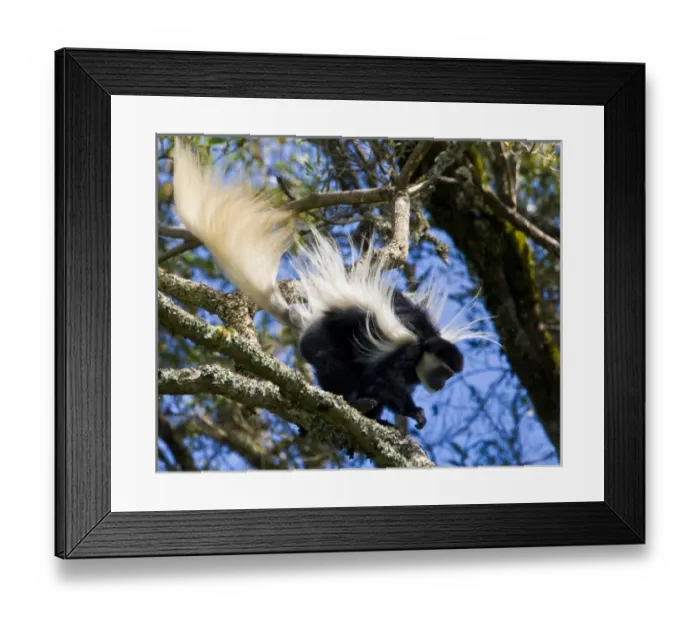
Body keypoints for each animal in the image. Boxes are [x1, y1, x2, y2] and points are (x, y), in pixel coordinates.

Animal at [170, 139, 488, 433]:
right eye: (444, 372)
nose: (441, 384)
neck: (424, 343)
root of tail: (310, 319)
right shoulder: (402, 351)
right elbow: (382, 380)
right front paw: (414, 412)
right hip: (320, 339)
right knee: (332, 363)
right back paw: (355, 403)